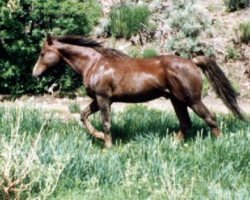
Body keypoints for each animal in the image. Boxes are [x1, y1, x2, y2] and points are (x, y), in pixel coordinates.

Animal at [32, 34, 245, 148]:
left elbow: (106, 123)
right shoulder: (98, 100)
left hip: (192, 100)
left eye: (42, 53)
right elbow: (83, 116)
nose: (34, 73)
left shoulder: (103, 99)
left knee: (210, 119)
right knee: (185, 123)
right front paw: (99, 137)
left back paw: (221, 144)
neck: (94, 63)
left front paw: (107, 146)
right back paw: (172, 144)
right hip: (177, 100)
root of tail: (192, 61)